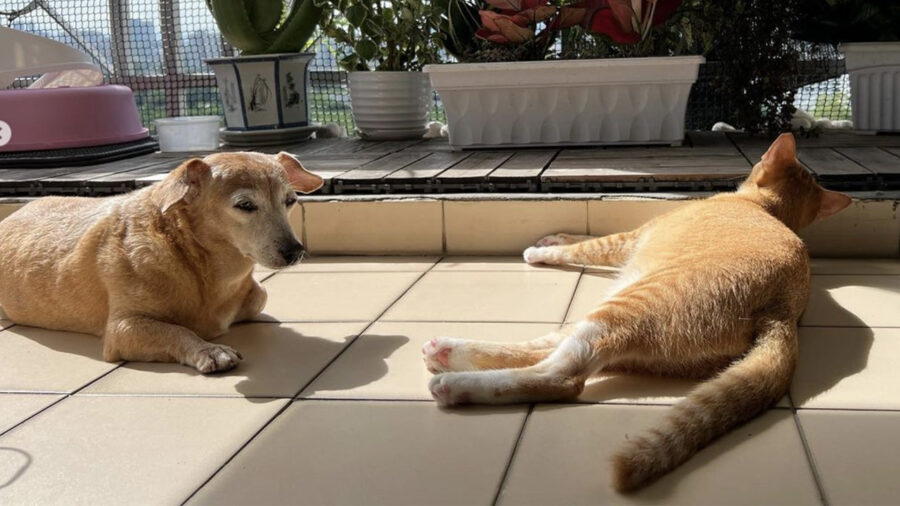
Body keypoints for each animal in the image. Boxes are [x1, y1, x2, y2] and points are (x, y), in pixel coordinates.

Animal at [0, 150, 322, 372]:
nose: (295, 251)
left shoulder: (255, 293)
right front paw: (208, 349)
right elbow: (175, 330)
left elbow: (258, 296)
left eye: (290, 201)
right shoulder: (123, 329)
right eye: (245, 205)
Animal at [422, 133, 852, 490]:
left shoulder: (627, 239)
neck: (763, 207)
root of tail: (782, 312)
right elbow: (580, 236)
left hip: (624, 310)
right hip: (631, 330)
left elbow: (584, 246)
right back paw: (448, 351)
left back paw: (457, 384)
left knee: (560, 375)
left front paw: (541, 252)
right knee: (544, 347)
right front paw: (552, 237)